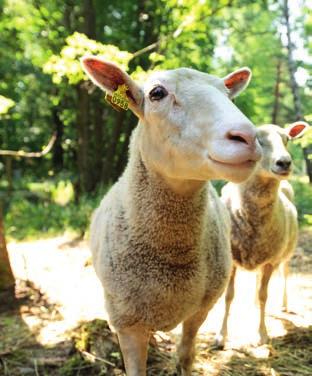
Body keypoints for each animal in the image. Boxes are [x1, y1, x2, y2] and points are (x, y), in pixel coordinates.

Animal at [80, 56, 260, 376]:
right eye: (157, 93)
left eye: (229, 96)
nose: (248, 137)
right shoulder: (126, 323)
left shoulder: (200, 310)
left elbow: (186, 356)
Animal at [217, 120, 310, 346]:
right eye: (257, 139)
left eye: (287, 139)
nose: (284, 163)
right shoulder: (232, 259)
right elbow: (229, 296)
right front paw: (222, 336)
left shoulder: (270, 261)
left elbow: (264, 296)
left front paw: (261, 334)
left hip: (285, 252)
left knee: (283, 274)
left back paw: (284, 304)